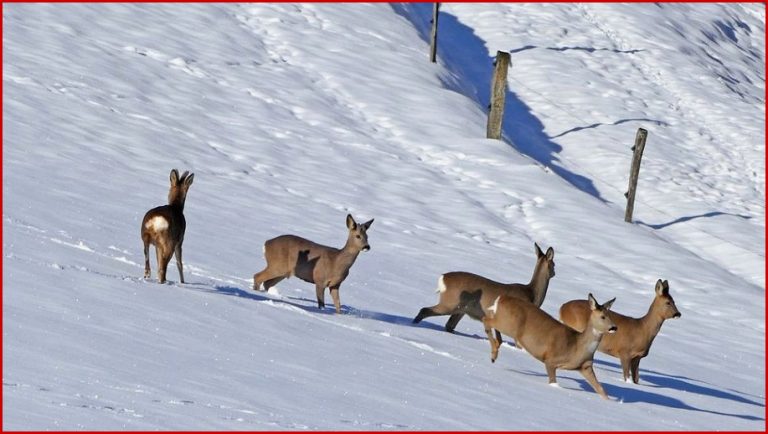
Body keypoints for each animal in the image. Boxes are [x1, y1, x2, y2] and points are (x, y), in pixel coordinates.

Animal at [412, 241, 556, 332]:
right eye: (554, 264)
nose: (555, 272)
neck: (531, 294)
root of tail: (443, 278)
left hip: (461, 309)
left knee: (449, 325)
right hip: (451, 303)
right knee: (425, 310)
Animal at [484, 294, 616, 398]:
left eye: (610, 315)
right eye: (603, 316)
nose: (614, 327)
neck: (577, 346)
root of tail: (501, 298)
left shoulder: (586, 366)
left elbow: (601, 389)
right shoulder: (551, 360)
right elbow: (553, 382)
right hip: (508, 325)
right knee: (486, 320)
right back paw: (493, 355)